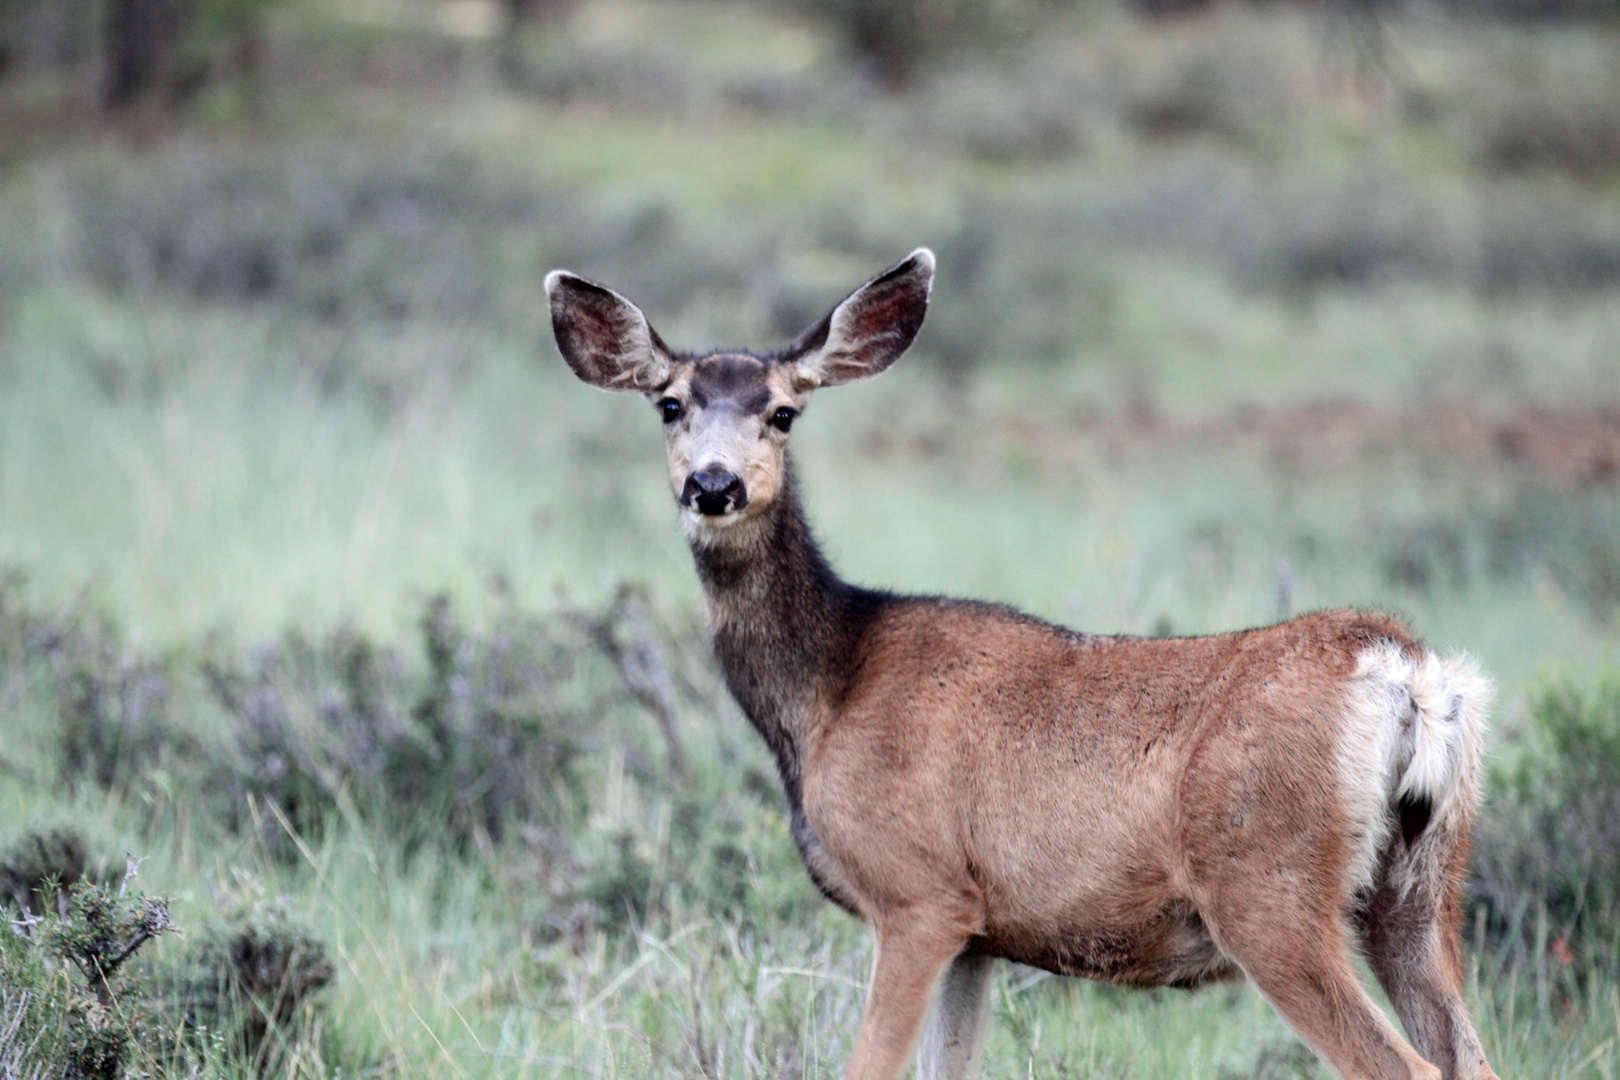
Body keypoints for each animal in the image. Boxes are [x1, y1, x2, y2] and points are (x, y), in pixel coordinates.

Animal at [547, 249, 1503, 1080]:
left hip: (1269, 886)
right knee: (1470, 1057)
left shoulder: (917, 892)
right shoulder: (980, 932)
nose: (714, 485)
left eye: (783, 411)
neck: (829, 686)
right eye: (669, 404)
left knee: (1412, 1067)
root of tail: (1408, 672)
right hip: (1419, 888)